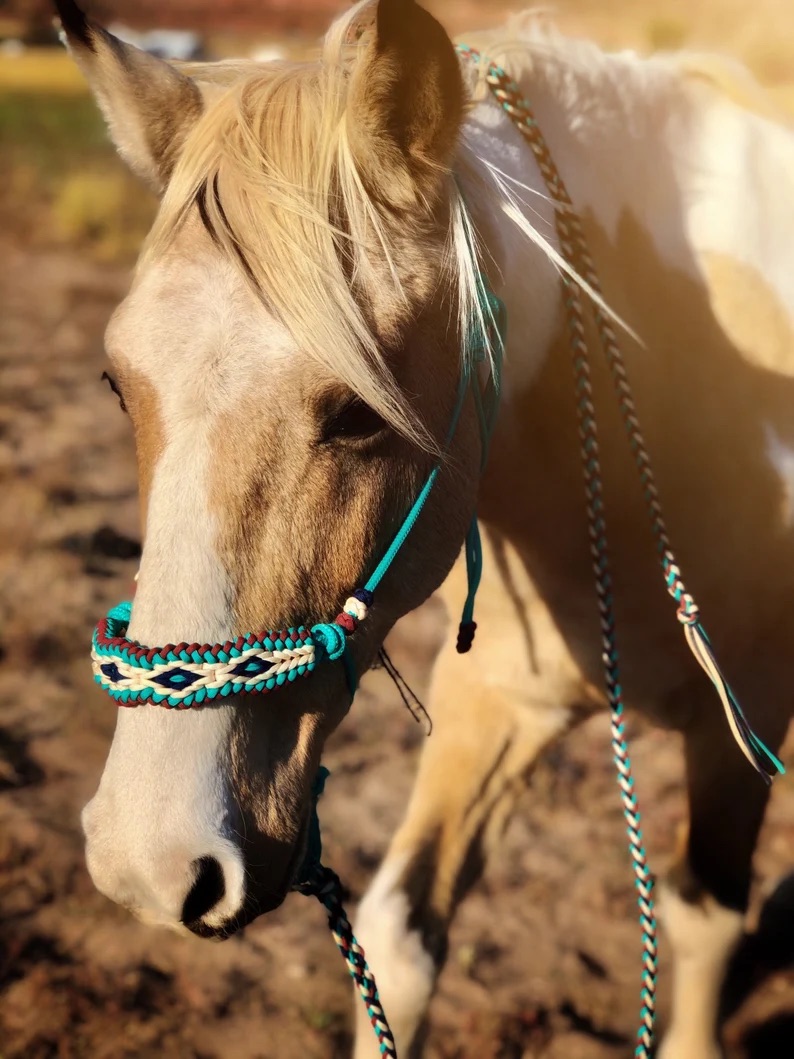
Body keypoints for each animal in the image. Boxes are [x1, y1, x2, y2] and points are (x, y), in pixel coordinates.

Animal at [54, 0, 794, 1056]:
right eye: (118, 383)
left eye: (363, 409)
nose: (150, 862)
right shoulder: (498, 701)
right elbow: (400, 936)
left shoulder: (747, 721)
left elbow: (701, 927)